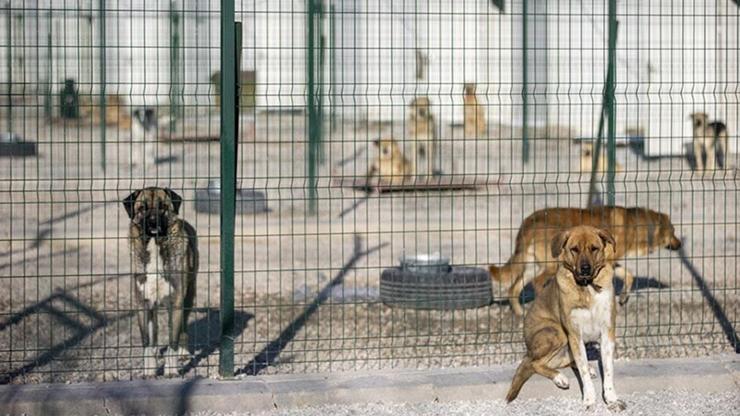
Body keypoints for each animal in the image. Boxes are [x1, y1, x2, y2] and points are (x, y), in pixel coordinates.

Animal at [124, 187, 199, 376]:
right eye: (142, 208)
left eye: (163, 207)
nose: (152, 222)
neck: (155, 244)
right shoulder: (143, 303)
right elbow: (147, 341)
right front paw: (149, 370)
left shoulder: (176, 302)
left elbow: (173, 340)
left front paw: (171, 370)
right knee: (155, 331)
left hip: (189, 296)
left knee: (183, 328)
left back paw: (183, 352)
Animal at [492, 205, 684, 316]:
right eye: (673, 232)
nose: (680, 244)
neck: (637, 226)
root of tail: (529, 221)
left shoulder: (609, 262)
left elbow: (628, 275)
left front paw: (623, 297)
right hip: (551, 265)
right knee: (537, 283)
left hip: (531, 265)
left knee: (514, 288)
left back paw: (520, 313)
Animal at [502, 226, 624, 412]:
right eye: (574, 249)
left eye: (594, 248)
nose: (585, 268)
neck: (587, 287)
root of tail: (528, 349)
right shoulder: (574, 335)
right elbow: (583, 372)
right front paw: (589, 399)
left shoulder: (607, 332)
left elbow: (608, 370)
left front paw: (611, 399)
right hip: (556, 333)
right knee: (534, 363)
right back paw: (559, 377)